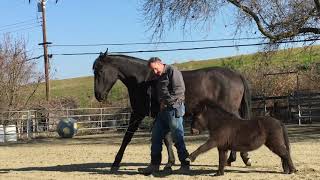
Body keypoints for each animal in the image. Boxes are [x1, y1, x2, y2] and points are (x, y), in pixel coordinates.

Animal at [91, 52, 251, 172]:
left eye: (100, 71)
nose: (99, 96)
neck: (143, 80)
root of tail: (236, 74)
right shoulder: (153, 115)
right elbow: (166, 139)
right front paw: (170, 163)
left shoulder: (139, 114)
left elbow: (127, 138)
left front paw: (115, 164)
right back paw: (235, 159)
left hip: (229, 110)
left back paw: (239, 158)